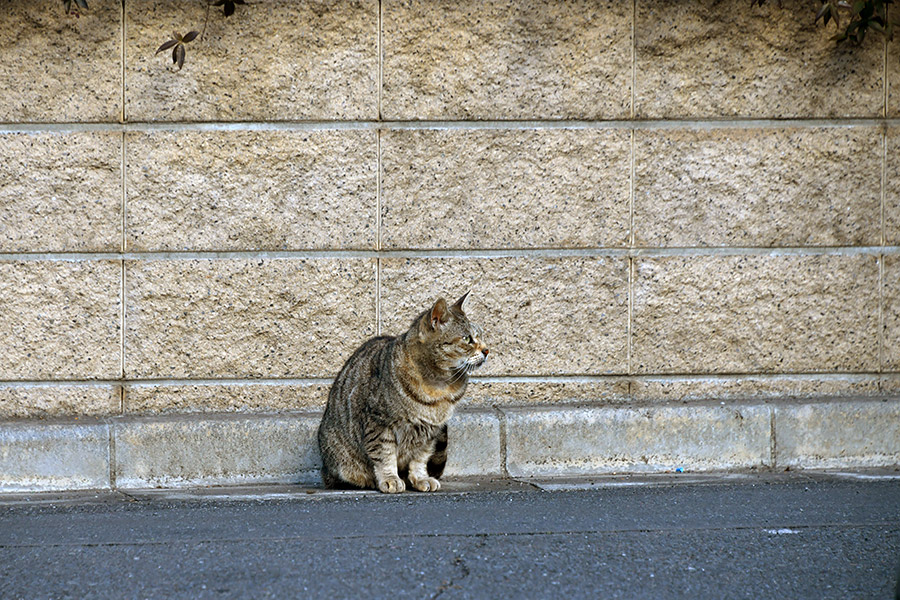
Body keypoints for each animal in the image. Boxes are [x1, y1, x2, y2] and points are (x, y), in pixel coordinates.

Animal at [314, 290, 488, 492]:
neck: (440, 386)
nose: (487, 350)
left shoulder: (431, 432)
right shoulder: (379, 423)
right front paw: (390, 479)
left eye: (481, 336)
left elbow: (419, 458)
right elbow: (385, 455)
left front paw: (421, 478)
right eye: (467, 339)